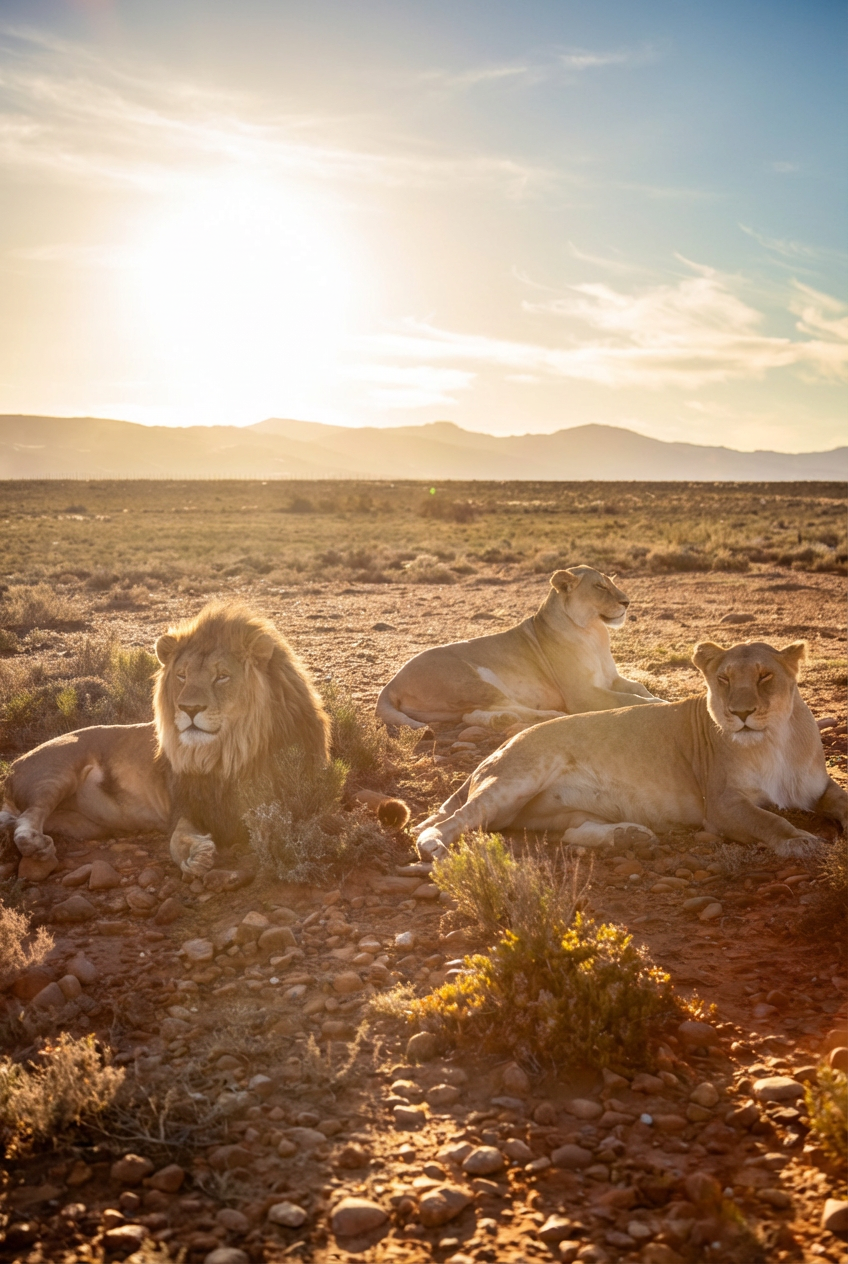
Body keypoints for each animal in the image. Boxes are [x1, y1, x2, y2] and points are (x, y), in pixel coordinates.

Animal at [1, 603, 332, 876]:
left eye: (222, 676)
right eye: (182, 676)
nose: (189, 708)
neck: (226, 752)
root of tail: (13, 765)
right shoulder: (184, 804)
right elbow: (176, 837)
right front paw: (195, 855)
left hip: (84, 825)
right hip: (56, 772)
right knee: (27, 817)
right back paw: (35, 845)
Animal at [375, 566, 658, 731]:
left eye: (612, 582)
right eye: (599, 586)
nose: (627, 602)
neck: (594, 633)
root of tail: (391, 683)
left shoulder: (611, 679)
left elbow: (638, 688)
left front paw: (654, 698)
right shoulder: (582, 694)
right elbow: (629, 700)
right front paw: (657, 703)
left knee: (471, 715)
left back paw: (502, 720)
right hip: (473, 680)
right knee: (505, 706)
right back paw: (550, 716)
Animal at [415, 639, 847, 861]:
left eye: (765, 676)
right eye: (723, 679)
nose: (740, 713)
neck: (773, 741)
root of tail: (497, 749)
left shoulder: (818, 787)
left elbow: (841, 801)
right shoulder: (722, 805)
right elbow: (767, 820)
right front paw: (800, 841)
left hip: (557, 809)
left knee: (569, 833)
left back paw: (630, 837)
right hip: (515, 778)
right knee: (455, 820)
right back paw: (432, 843)